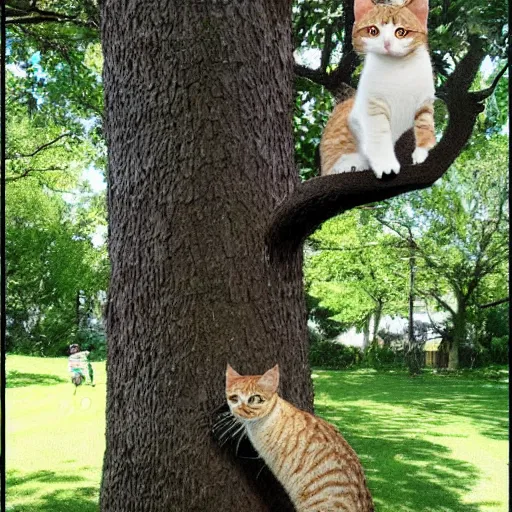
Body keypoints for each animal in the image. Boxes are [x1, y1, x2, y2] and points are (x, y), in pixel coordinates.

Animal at [320, 0, 436, 179]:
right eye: (373, 31)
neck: (397, 70)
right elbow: (378, 135)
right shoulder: (372, 107)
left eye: (401, 32)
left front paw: (422, 151)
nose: (386, 43)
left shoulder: (424, 102)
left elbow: (425, 124)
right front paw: (386, 165)